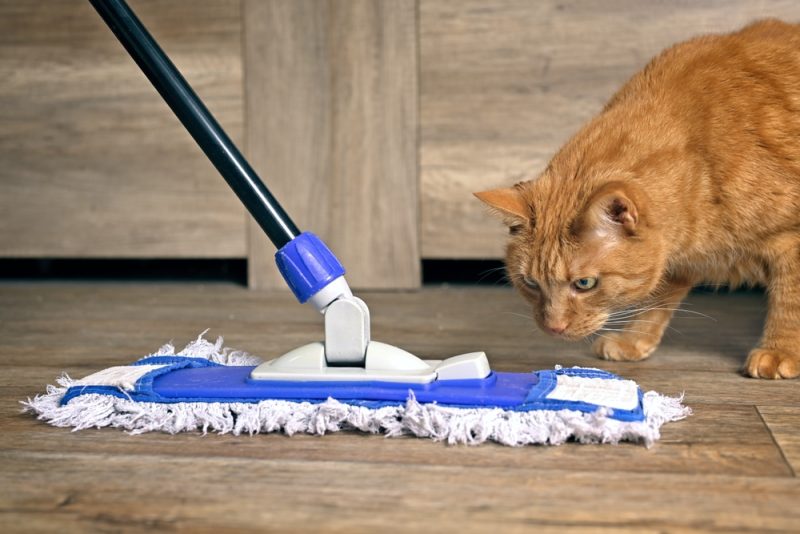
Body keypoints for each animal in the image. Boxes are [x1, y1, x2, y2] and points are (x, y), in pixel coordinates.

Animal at [476, 21, 800, 382]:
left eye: (585, 284)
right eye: (530, 283)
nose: (553, 328)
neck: (702, 161)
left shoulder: (790, 241)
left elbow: (789, 301)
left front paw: (779, 351)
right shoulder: (674, 259)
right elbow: (655, 301)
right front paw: (634, 341)